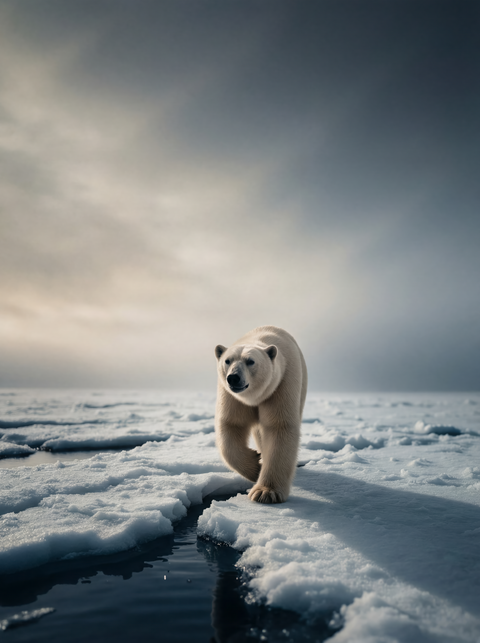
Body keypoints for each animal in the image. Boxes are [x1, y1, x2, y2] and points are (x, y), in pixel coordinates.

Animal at [214, 325, 308, 503]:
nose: (233, 378)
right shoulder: (232, 397)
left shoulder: (281, 385)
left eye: (250, 361)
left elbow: (279, 427)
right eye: (227, 360)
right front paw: (255, 467)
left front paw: (265, 493)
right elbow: (232, 424)